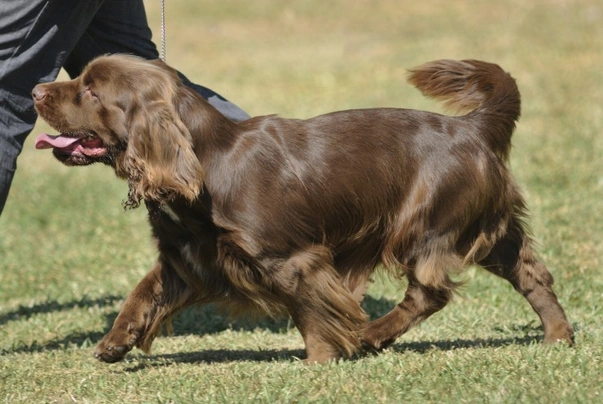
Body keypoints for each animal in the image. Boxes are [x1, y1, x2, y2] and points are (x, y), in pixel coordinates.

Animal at [34, 54, 576, 362]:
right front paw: (114, 343)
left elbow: (311, 311)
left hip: (424, 225)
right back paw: (557, 337)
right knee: (532, 273)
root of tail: (474, 126)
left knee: (429, 293)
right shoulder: (188, 258)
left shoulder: (293, 259)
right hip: (488, 229)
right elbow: (143, 293)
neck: (207, 165)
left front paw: (320, 361)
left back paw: (372, 335)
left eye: (91, 90)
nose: (36, 90)